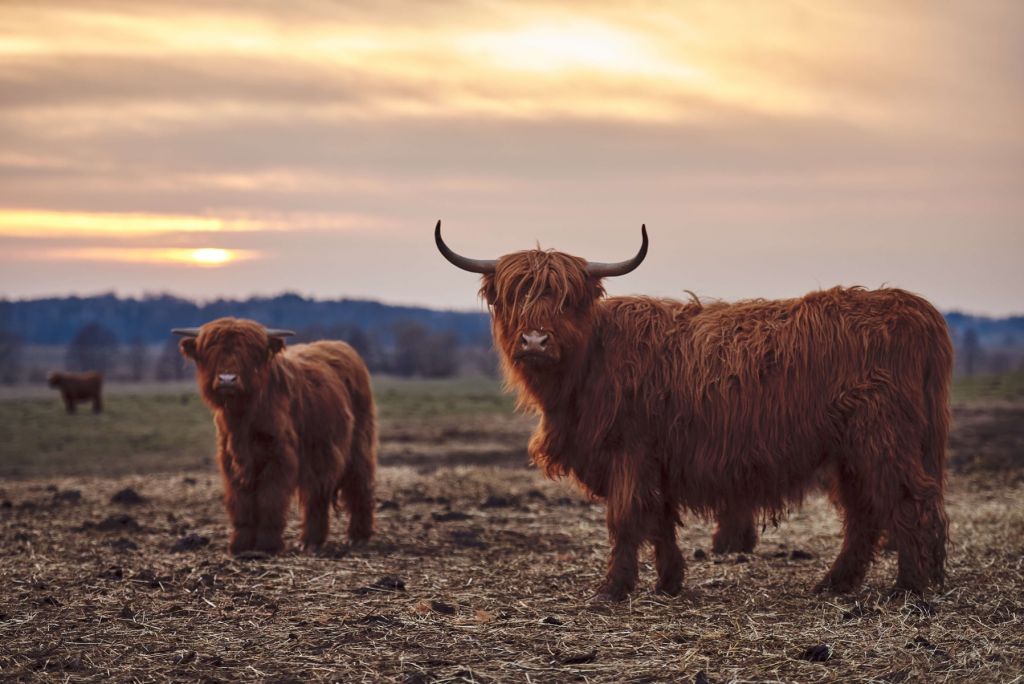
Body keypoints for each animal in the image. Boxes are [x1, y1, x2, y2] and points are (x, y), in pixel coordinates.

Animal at [175, 319, 376, 557]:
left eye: (250, 351)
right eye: (210, 349)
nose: (227, 379)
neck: (243, 417)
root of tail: (342, 347)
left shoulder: (279, 455)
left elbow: (270, 498)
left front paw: (267, 545)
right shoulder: (231, 457)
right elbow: (241, 501)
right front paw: (241, 544)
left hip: (357, 443)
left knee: (358, 484)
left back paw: (357, 537)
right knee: (317, 493)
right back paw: (311, 541)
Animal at [438, 222, 950, 602]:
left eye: (566, 299)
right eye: (513, 295)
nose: (535, 341)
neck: (587, 363)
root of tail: (912, 307)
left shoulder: (629, 450)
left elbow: (625, 518)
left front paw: (612, 588)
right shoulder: (656, 459)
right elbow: (660, 521)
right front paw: (669, 583)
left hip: (881, 440)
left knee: (909, 500)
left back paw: (909, 587)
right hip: (851, 453)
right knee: (865, 513)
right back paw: (838, 583)